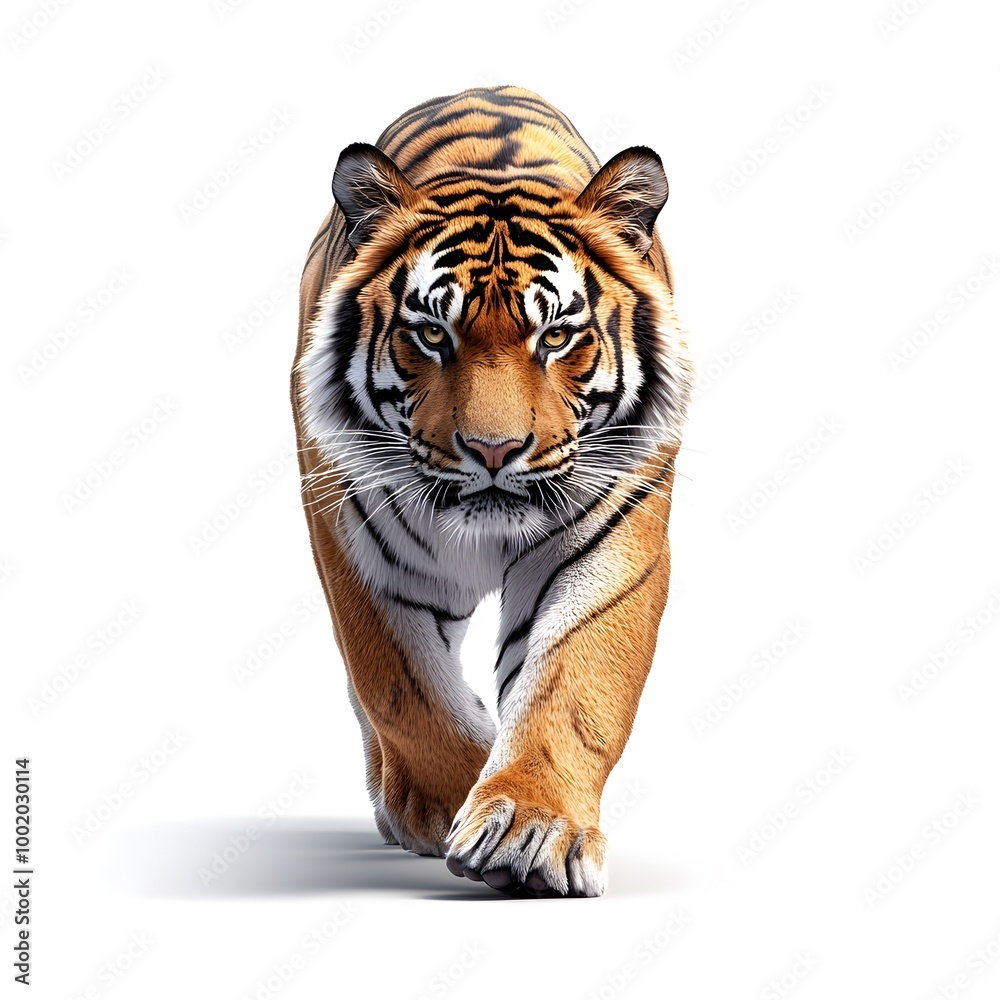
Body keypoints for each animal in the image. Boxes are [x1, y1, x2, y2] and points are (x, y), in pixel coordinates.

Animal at [290, 85, 692, 897]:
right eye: (432, 333)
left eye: (557, 337)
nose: (494, 450)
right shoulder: (351, 533)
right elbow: (401, 686)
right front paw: (448, 801)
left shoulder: (612, 537)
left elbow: (573, 683)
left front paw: (529, 831)